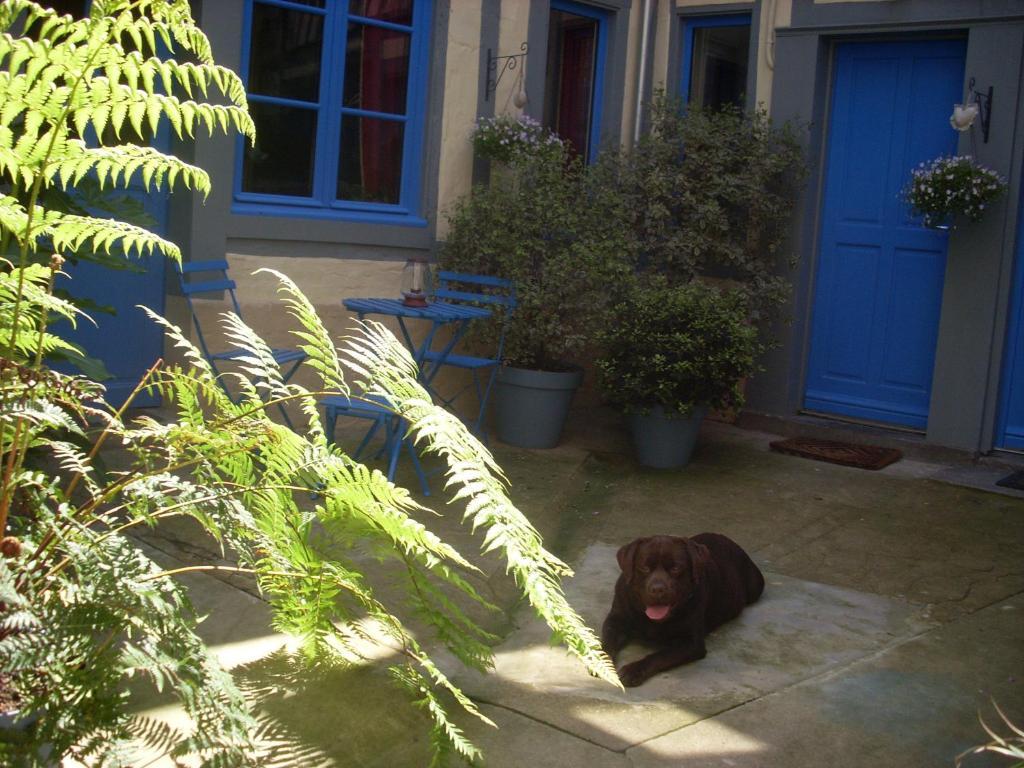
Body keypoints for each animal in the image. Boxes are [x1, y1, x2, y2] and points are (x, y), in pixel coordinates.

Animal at [602, 532, 765, 688]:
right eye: (645, 568)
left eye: (675, 568)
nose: (657, 589)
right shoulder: (616, 620)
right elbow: (605, 643)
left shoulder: (690, 643)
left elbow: (660, 656)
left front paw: (634, 670)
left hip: (754, 587)